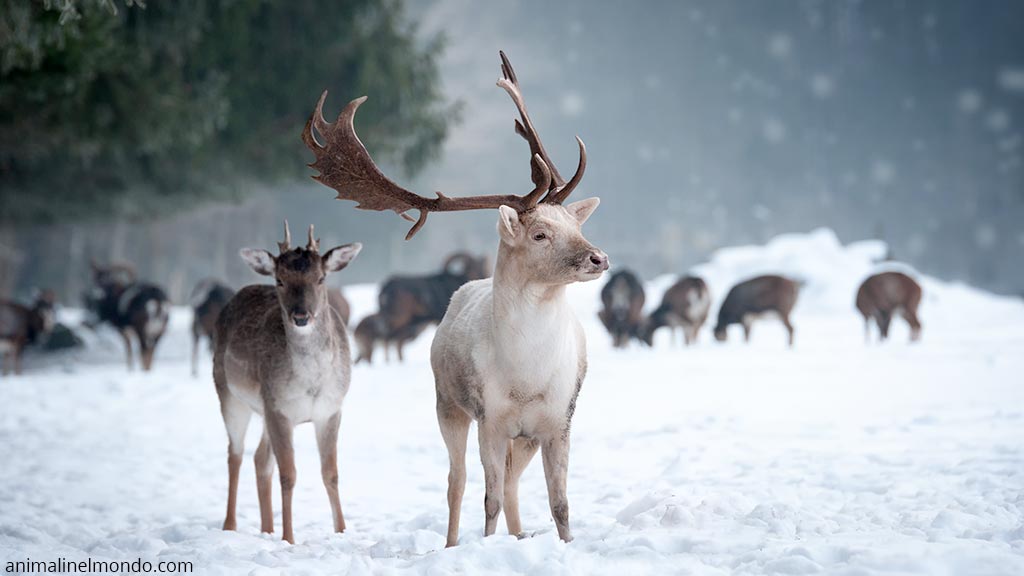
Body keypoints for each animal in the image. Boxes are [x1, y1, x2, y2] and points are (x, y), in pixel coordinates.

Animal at [213, 221, 361, 544]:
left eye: (321, 278)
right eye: (280, 280)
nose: (301, 316)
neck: (312, 382)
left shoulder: (330, 409)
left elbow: (330, 473)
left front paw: (342, 531)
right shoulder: (278, 408)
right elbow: (288, 475)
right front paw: (289, 539)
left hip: (264, 409)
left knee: (259, 459)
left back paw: (266, 529)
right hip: (229, 394)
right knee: (235, 454)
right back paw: (230, 526)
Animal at [302, 51, 606, 546]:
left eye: (574, 225)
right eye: (540, 234)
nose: (598, 257)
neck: (527, 378)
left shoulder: (559, 418)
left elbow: (560, 503)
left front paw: (565, 544)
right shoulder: (490, 417)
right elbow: (489, 498)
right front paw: (484, 544)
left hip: (522, 434)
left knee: (513, 481)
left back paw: (519, 536)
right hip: (447, 404)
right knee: (457, 481)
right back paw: (451, 541)